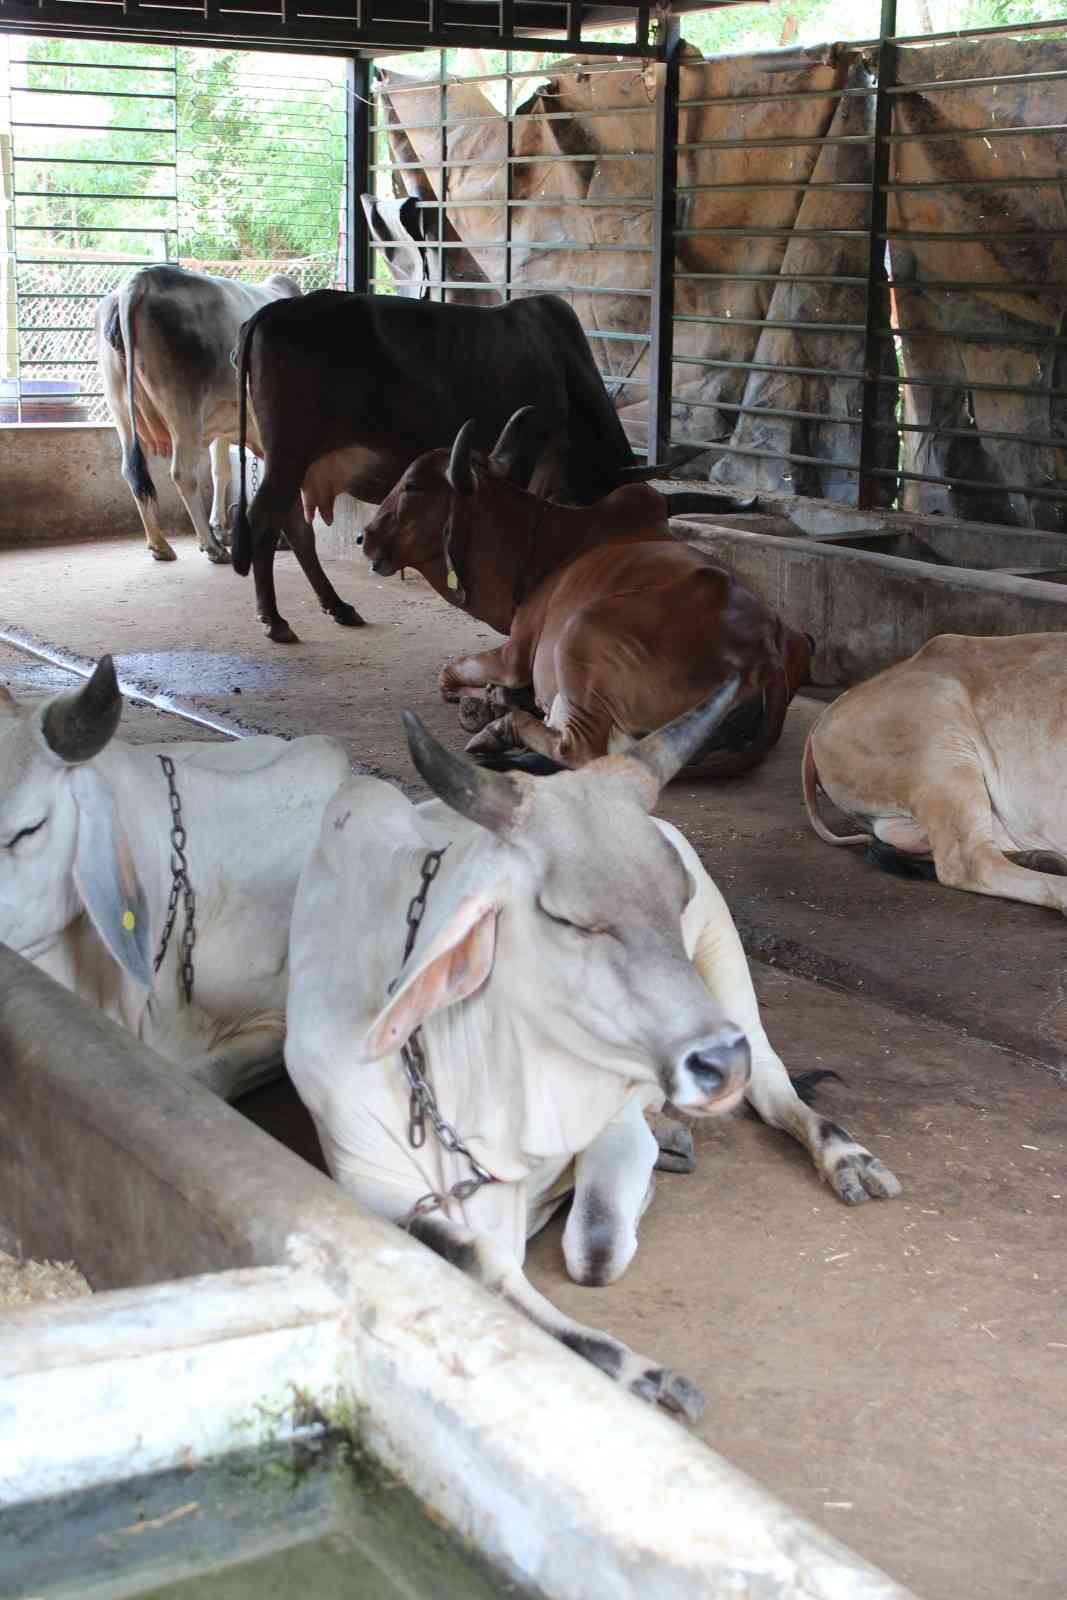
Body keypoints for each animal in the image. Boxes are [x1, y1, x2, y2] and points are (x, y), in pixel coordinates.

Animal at [97, 265, 363, 643]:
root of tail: (141, 280)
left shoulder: (226, 427)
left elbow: (221, 470)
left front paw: (221, 525)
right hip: (184, 407)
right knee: (182, 473)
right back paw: (211, 548)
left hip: (120, 406)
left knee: (132, 473)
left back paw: (160, 544)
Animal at [229, 289, 742, 640]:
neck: (566, 369)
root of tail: (269, 312)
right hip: (289, 452)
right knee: (263, 520)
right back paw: (274, 619)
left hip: (287, 458)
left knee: (293, 526)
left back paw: (336, 606)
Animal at [285, 691, 900, 1417]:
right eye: (566, 919)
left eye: (677, 897)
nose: (720, 1063)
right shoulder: (369, 1190)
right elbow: (483, 1267)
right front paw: (637, 1372)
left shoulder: (613, 1129)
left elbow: (595, 1246)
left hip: (727, 960)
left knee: (777, 1088)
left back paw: (843, 1157)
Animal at [361, 410, 812, 772]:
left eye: (413, 485)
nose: (364, 537)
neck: (542, 545)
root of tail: (765, 656)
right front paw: (497, 698)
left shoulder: (515, 654)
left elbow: (448, 673)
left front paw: (485, 702)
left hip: (583, 626)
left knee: (579, 748)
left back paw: (498, 729)